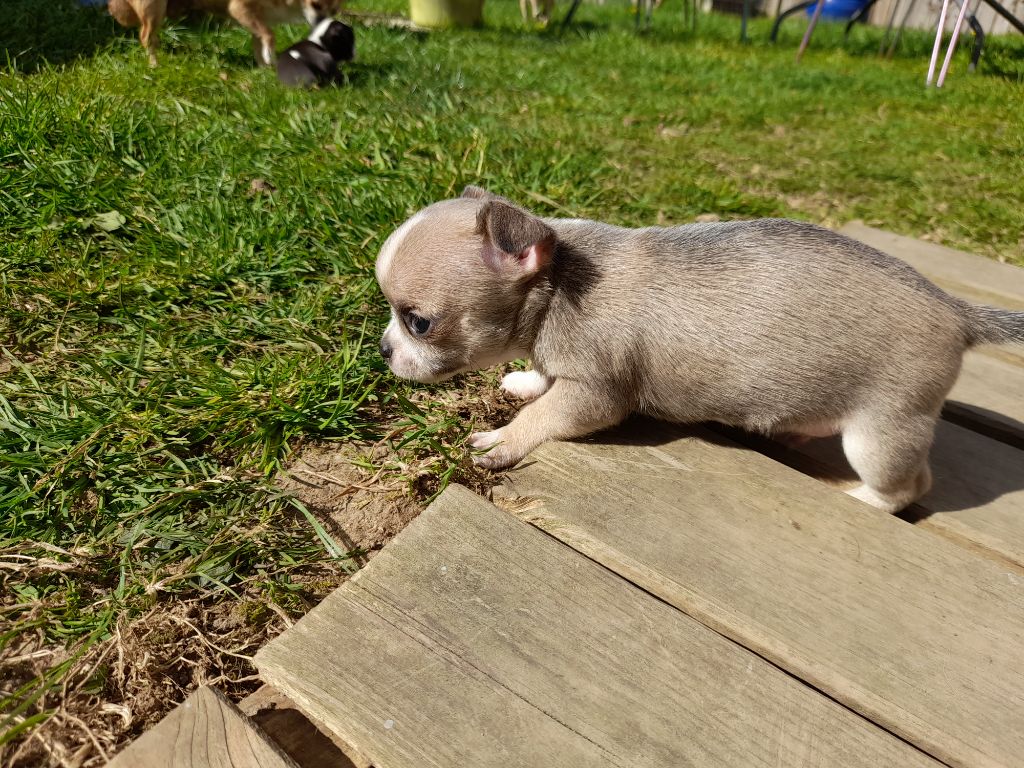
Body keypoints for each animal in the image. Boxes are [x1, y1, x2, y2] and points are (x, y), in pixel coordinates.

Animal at [108, 0, 340, 67]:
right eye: (316, 5)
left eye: (334, 10)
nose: (322, 23)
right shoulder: (241, 9)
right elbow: (269, 35)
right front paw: (271, 60)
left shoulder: (256, 17)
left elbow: (259, 41)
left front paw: (264, 67)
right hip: (154, 9)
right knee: (146, 36)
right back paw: (154, 64)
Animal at [375, 186, 1024, 513]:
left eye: (419, 322)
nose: (383, 349)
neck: (560, 280)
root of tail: (955, 309)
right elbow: (542, 379)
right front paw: (524, 379)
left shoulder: (595, 394)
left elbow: (548, 415)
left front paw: (505, 438)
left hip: (881, 433)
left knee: (906, 488)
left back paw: (861, 497)